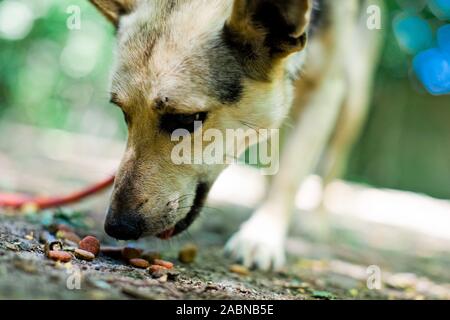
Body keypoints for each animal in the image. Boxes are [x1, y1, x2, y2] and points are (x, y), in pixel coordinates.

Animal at [89, 0, 384, 270]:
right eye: (124, 114)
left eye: (185, 119)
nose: (117, 227)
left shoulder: (326, 90)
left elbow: (290, 175)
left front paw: (262, 236)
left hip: (352, 101)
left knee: (333, 161)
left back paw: (315, 222)